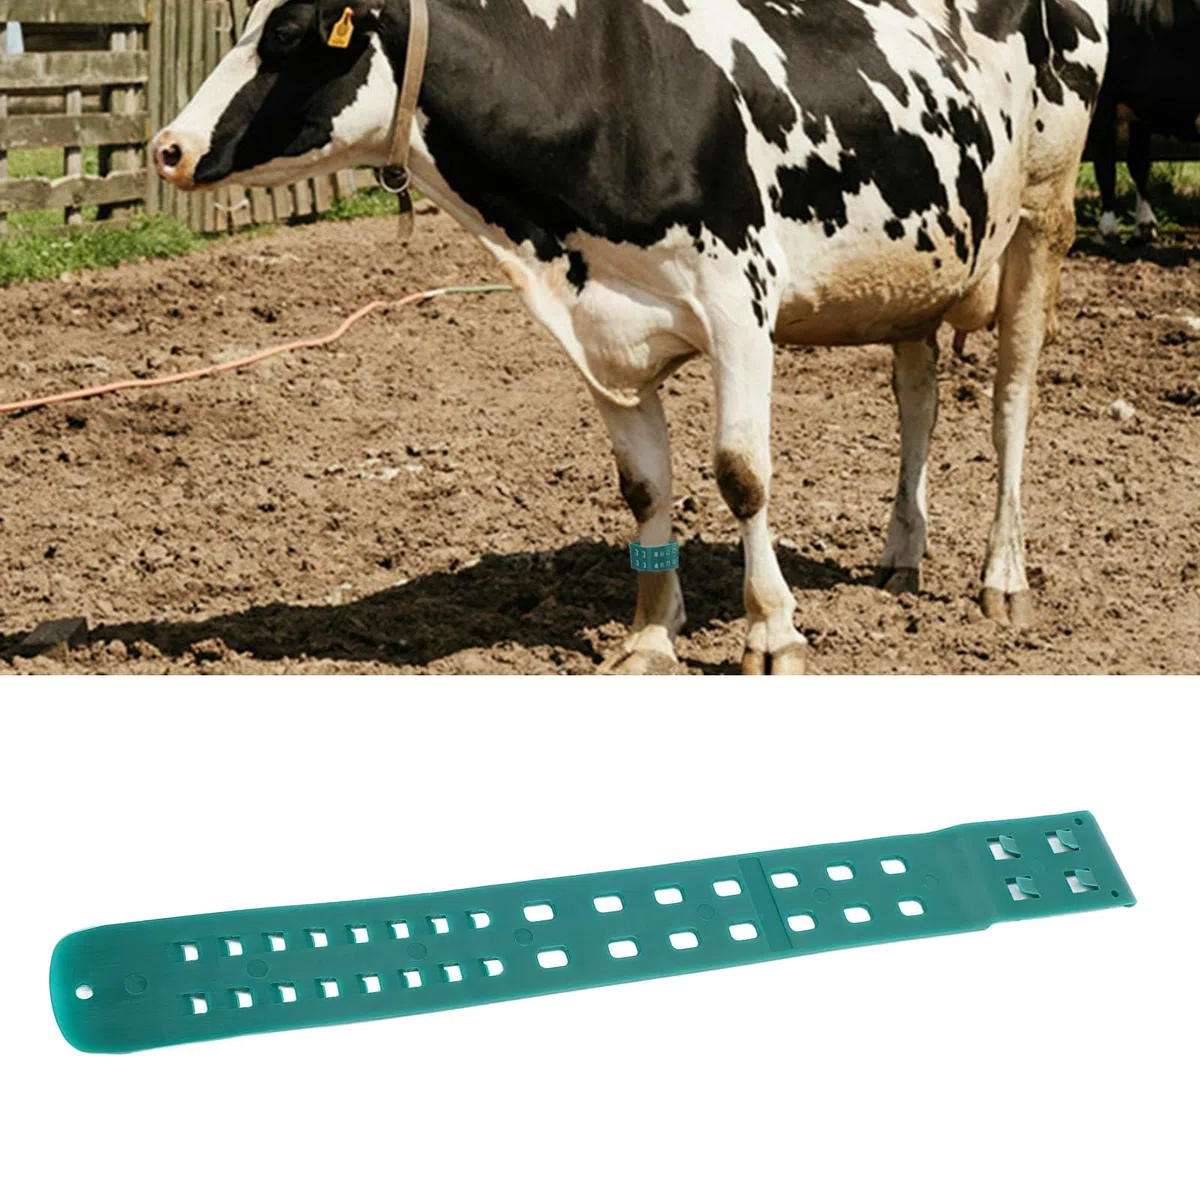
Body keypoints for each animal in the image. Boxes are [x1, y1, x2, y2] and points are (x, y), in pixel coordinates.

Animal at [151, 0, 1107, 674]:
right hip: (916, 264)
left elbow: (741, 474)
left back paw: (1003, 578)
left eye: (289, 33)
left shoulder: (739, 304)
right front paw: (650, 637)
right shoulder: (600, 335)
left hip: (1043, 215)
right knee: (917, 396)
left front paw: (773, 633)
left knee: (1012, 400)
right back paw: (902, 556)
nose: (167, 147)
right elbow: (644, 487)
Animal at [1089, 0, 1200, 242]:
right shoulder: (1140, 106)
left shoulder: (1104, 99)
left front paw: (1106, 229)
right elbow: (1137, 163)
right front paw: (1145, 225)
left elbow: (1106, 164)